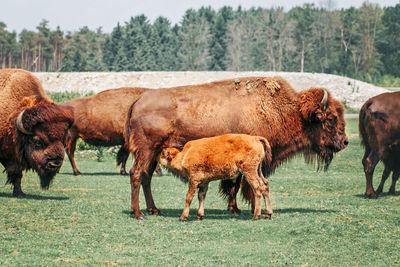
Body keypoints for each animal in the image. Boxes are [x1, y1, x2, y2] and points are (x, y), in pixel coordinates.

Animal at [0, 69, 74, 198]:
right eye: (37, 142)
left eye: (63, 140)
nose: (55, 163)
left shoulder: (14, 158)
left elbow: (18, 175)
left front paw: (20, 193)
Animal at [126, 76, 348, 220]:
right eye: (331, 118)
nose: (345, 141)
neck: (287, 111)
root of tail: (138, 101)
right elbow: (244, 185)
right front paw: (252, 209)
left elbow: (234, 184)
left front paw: (236, 209)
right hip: (146, 149)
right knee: (136, 174)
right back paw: (139, 214)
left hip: (155, 152)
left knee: (146, 177)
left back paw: (154, 210)